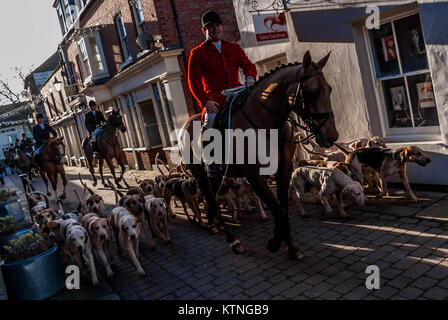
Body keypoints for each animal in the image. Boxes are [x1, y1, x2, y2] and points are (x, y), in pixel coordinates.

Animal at [177, 50, 338, 260]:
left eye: (329, 89)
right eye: (313, 92)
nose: (331, 136)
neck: (265, 123)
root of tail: (187, 123)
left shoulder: (283, 170)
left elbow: (282, 208)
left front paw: (288, 244)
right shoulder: (254, 176)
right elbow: (277, 210)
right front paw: (276, 243)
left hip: (215, 177)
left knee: (211, 200)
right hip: (200, 174)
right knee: (211, 201)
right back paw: (233, 241)